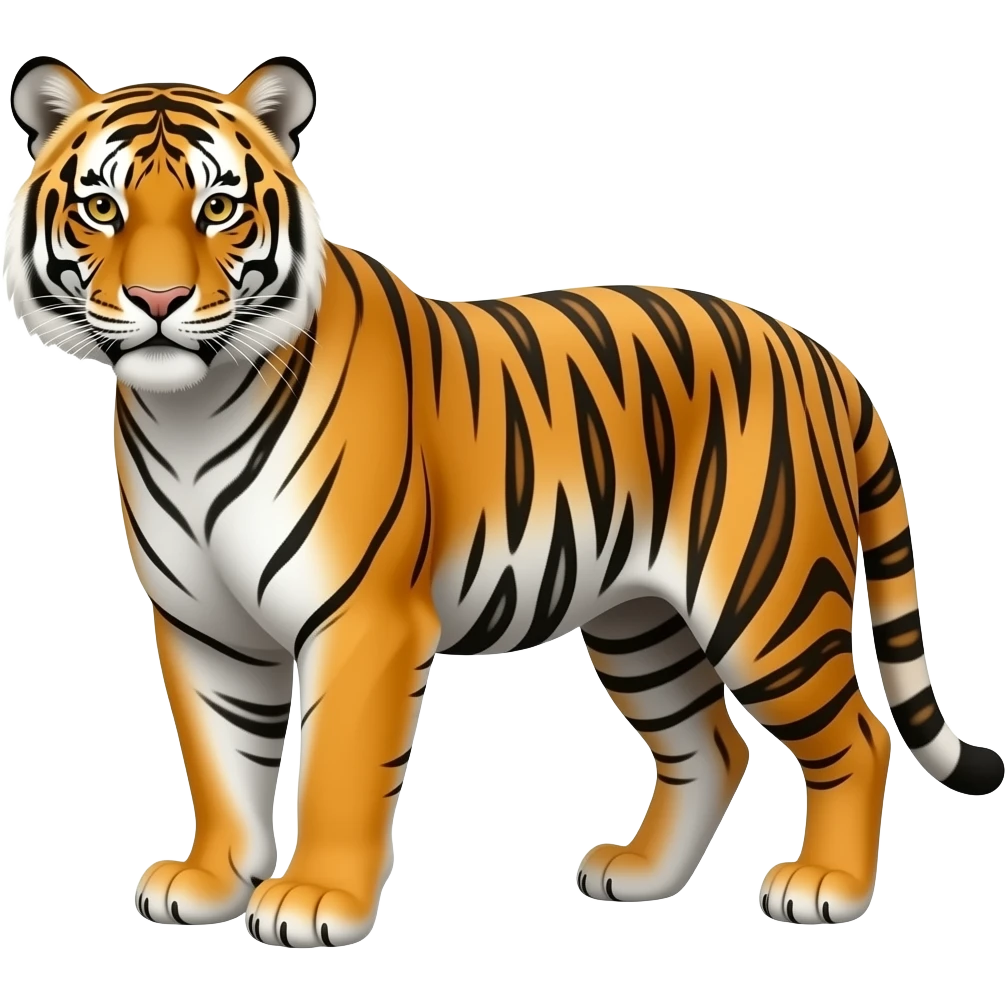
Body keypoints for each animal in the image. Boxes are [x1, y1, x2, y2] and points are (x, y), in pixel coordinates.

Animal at [4, 54, 1001, 948]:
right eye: (102, 207)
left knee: (859, 736)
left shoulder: (362, 618)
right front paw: (211, 880)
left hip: (768, 603)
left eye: (218, 207)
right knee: (711, 746)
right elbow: (222, 760)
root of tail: (822, 355)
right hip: (640, 623)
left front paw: (315, 899)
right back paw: (640, 874)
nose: (158, 298)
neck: (189, 411)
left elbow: (335, 771)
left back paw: (825, 886)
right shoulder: (202, 624)